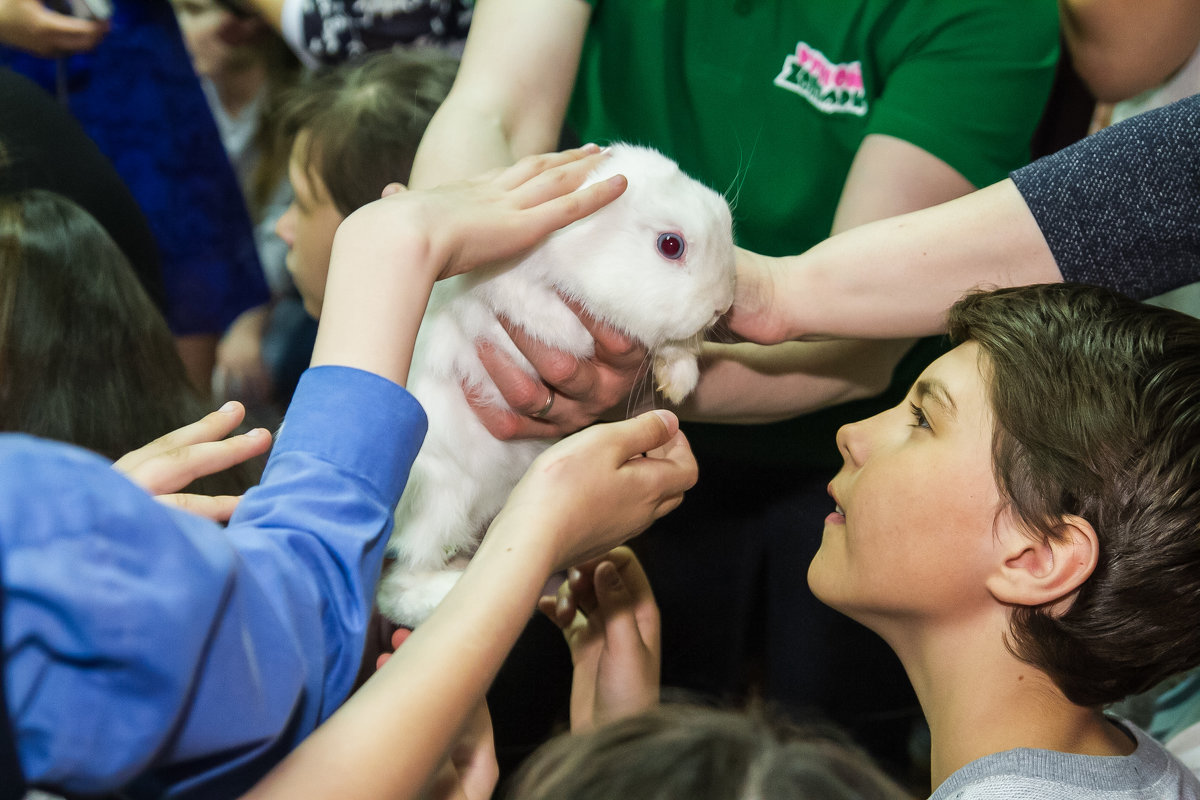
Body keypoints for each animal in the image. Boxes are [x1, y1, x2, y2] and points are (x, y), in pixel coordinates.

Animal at [376, 146, 729, 628]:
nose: (722, 306)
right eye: (670, 245)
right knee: (399, 581)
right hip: (441, 500)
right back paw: (443, 593)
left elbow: (673, 349)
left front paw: (678, 380)